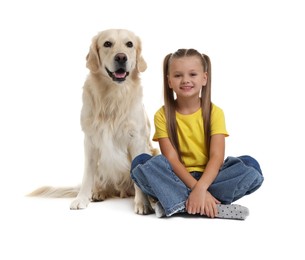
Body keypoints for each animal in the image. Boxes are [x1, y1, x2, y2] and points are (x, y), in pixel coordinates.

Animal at [28, 29, 157, 215]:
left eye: (129, 44)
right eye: (107, 44)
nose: (121, 57)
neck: (113, 96)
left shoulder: (137, 139)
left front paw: (142, 203)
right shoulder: (90, 140)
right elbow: (88, 174)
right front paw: (82, 198)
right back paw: (97, 193)